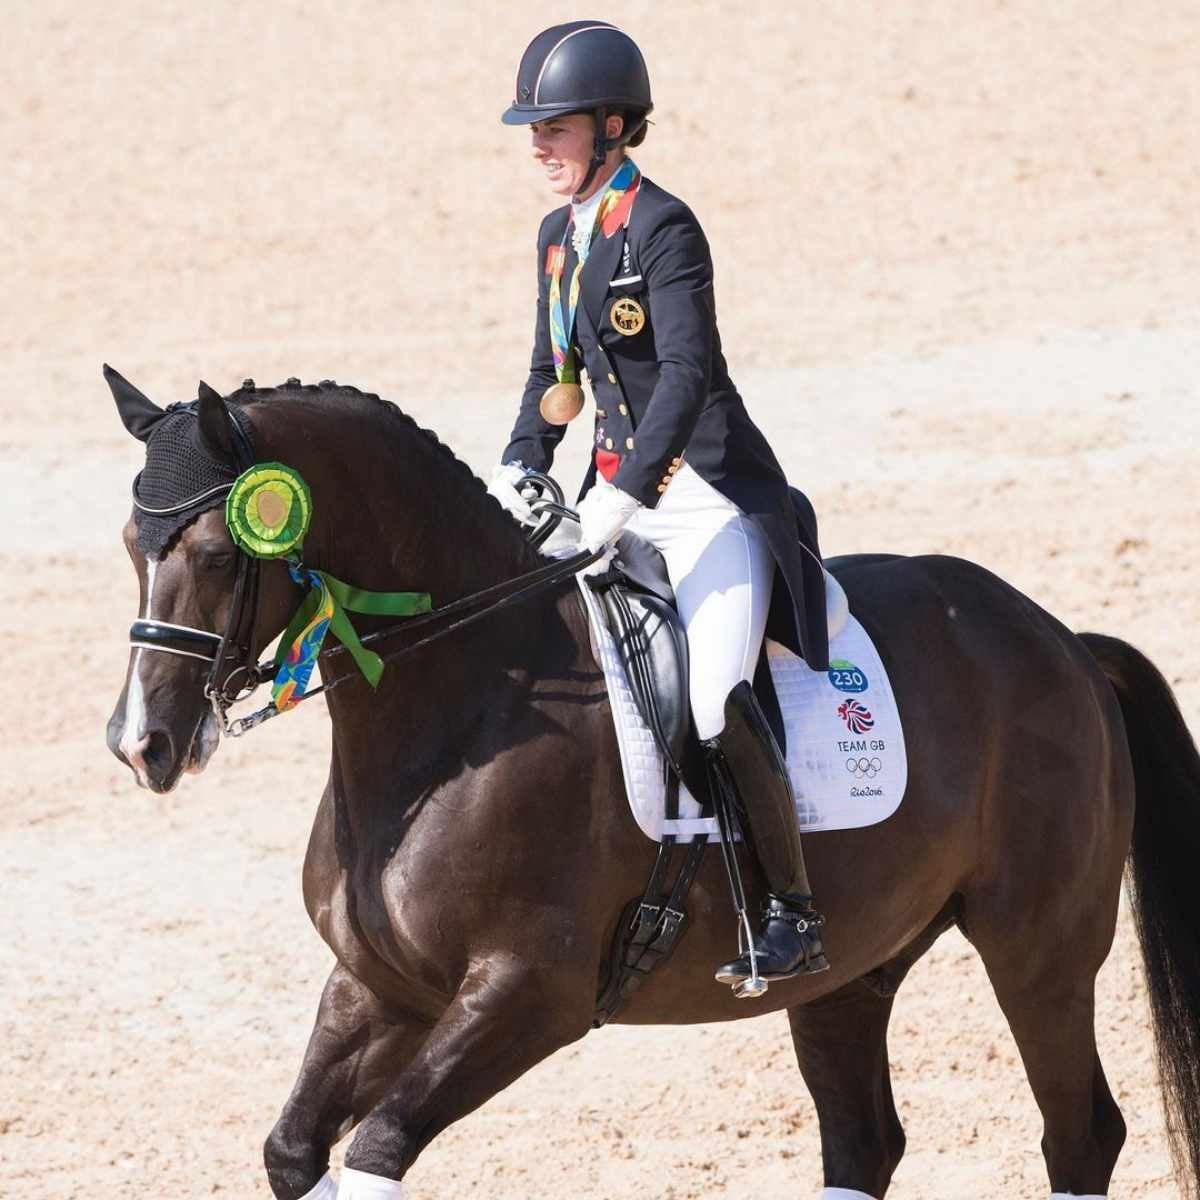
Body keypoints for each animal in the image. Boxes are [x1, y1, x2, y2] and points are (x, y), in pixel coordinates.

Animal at [105, 374, 1200, 1200]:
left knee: (1079, 1134)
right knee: (864, 1142)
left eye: (218, 552)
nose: (141, 743)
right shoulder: (382, 984)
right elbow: (294, 1151)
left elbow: (373, 1151)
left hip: (1038, 944)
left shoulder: (527, 994)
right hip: (851, 968)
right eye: (128, 544)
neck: (459, 705)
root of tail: (1059, 638)